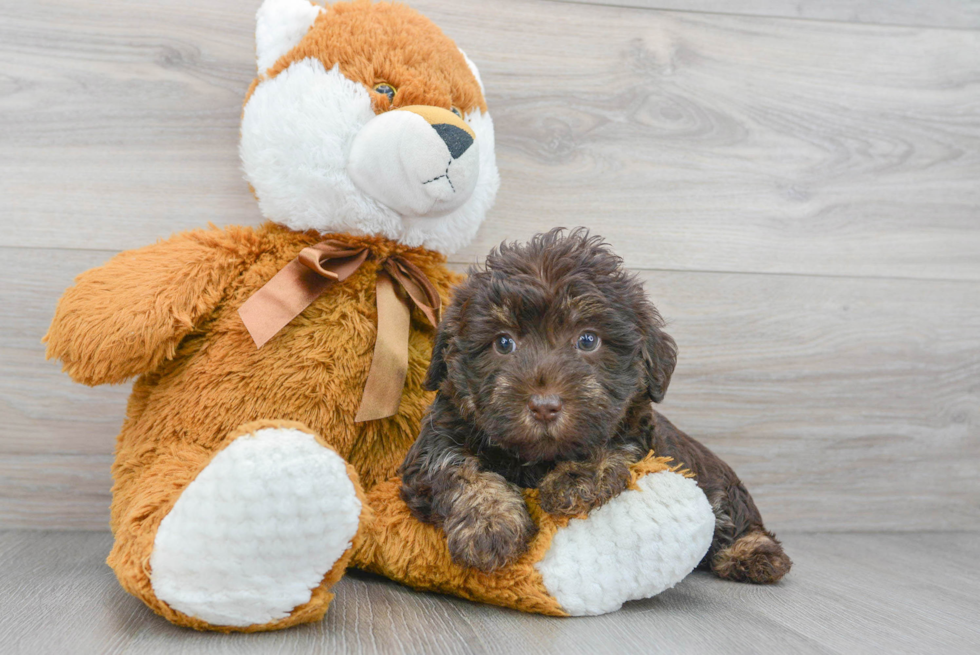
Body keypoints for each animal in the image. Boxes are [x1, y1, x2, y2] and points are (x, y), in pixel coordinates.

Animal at [398, 227, 788, 584]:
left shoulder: (635, 431)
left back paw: (754, 554)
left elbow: (610, 444)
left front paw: (573, 479)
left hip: (718, 483)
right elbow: (458, 470)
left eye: (588, 340)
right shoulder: (436, 440)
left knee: (733, 517)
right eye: (503, 343)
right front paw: (490, 525)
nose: (544, 406)